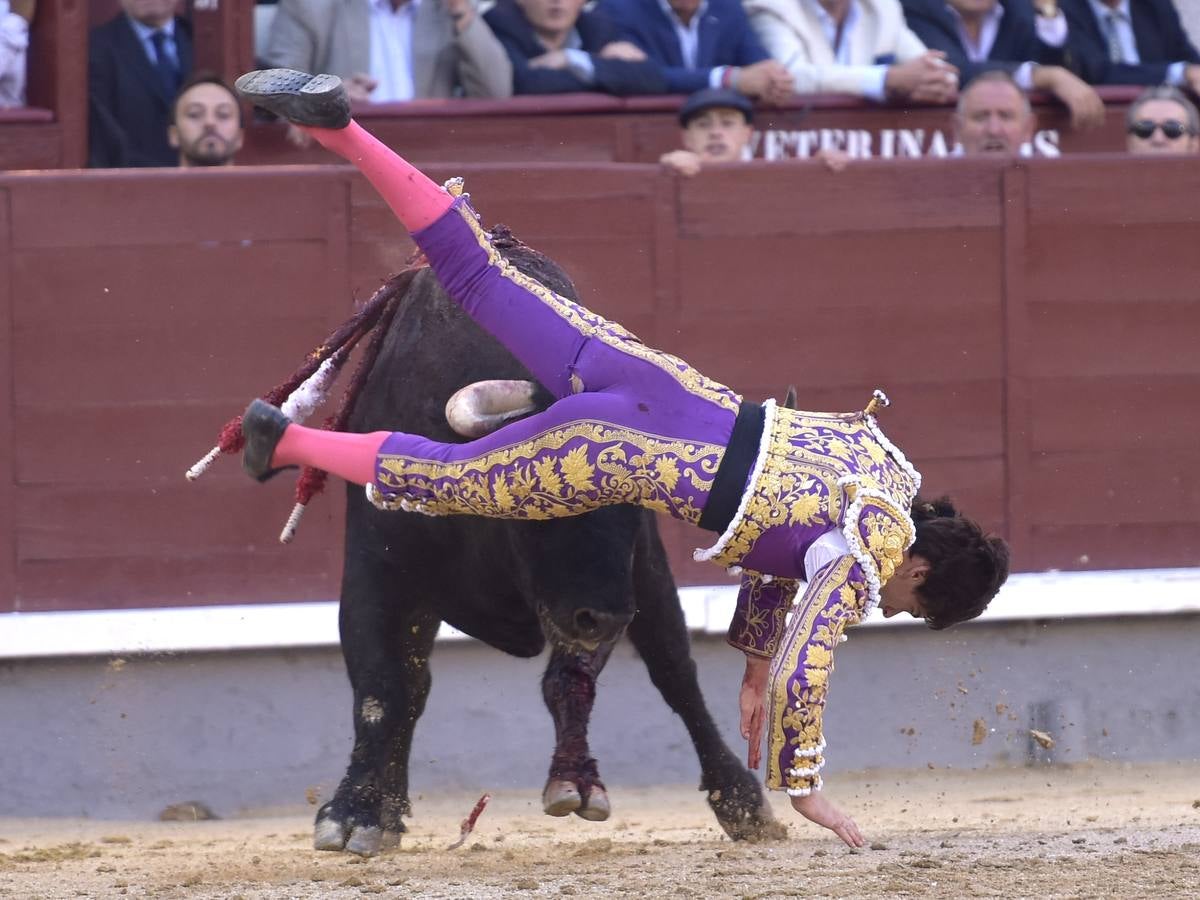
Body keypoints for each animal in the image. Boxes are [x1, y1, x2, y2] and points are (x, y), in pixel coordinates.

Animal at [314, 236, 782, 854]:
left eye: (640, 508)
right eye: (541, 501)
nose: (608, 618)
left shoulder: (601, 591)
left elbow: (572, 678)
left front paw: (575, 783)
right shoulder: (375, 572)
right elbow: (382, 689)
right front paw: (355, 814)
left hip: (646, 583)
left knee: (675, 672)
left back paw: (743, 801)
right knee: (412, 688)